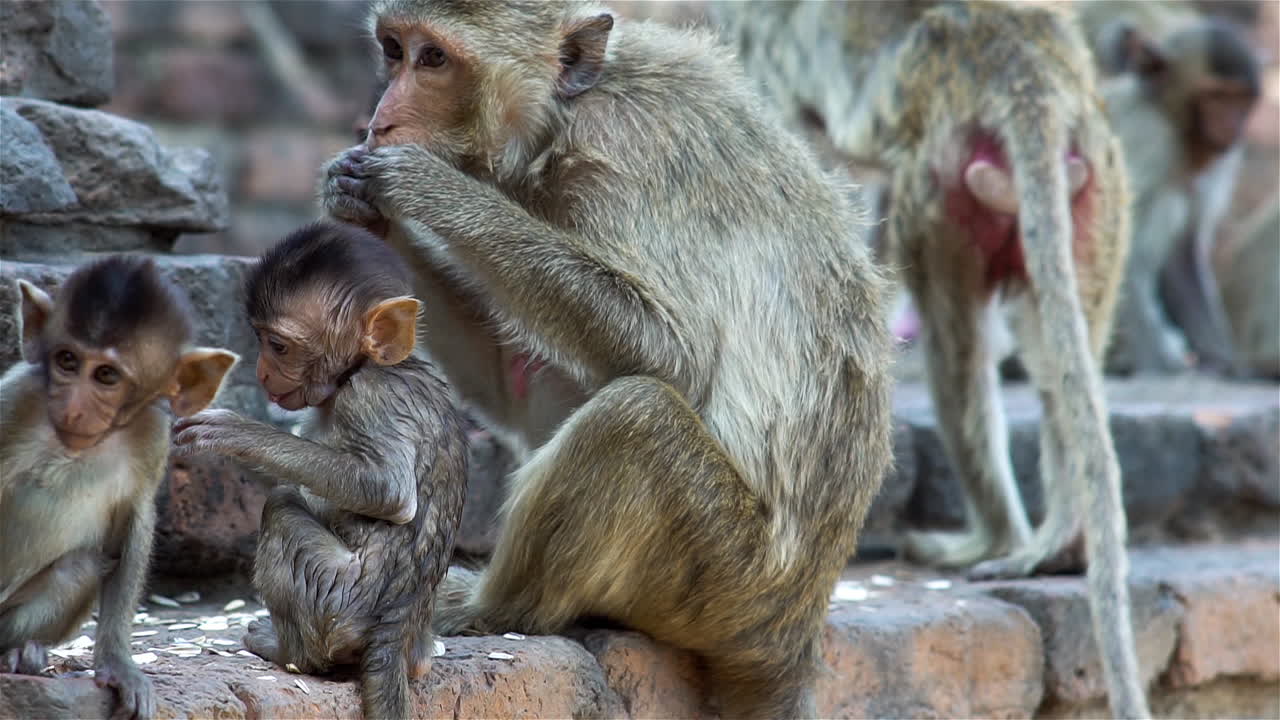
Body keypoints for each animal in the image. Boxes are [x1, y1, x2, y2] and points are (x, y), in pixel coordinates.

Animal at [0, 256, 238, 720]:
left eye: (107, 375)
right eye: (67, 360)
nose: (73, 408)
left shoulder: (151, 436)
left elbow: (134, 523)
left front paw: (117, 664)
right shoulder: (16, 399)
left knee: (78, 567)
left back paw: (18, 654)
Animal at [171, 220, 469, 720]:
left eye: (278, 346)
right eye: (260, 341)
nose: (262, 373)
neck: (362, 368)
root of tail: (396, 626)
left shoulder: (371, 395)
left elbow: (388, 492)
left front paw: (237, 433)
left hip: (336, 603)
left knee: (281, 509)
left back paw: (289, 652)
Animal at [318, 2, 895, 717]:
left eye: (434, 60)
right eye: (394, 50)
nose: (381, 120)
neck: (560, 121)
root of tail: (795, 630)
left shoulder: (620, 152)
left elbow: (673, 353)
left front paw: (426, 189)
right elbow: (521, 397)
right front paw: (363, 204)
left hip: (727, 582)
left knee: (636, 413)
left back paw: (494, 607)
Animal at [716, 2, 1148, 717]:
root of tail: (1019, 59)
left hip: (941, 182)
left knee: (957, 352)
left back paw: (993, 538)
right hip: (1095, 183)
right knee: (1054, 359)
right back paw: (1058, 544)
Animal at [1076, 0, 1262, 376]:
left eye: (1241, 100)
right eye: (1216, 97)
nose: (1232, 125)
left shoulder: (1220, 161)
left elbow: (1184, 254)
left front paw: (1224, 358)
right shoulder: (1149, 141)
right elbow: (1119, 241)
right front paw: (1157, 366)